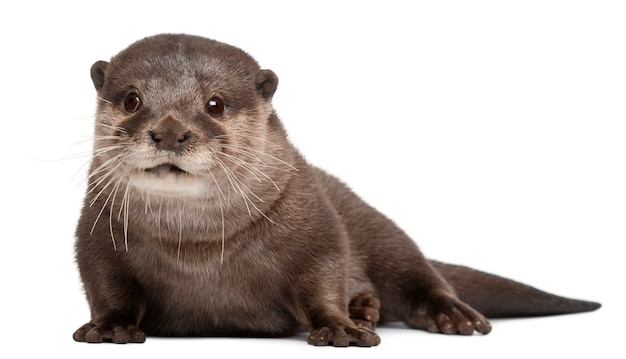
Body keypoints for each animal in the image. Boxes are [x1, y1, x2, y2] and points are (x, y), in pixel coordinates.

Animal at [70, 33, 596, 346]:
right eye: (132, 99)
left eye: (215, 103)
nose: (170, 132)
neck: (198, 249)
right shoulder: (97, 235)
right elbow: (106, 286)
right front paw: (111, 325)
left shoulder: (313, 218)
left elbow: (323, 274)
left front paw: (340, 326)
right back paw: (367, 307)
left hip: (378, 228)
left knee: (417, 273)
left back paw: (439, 315)